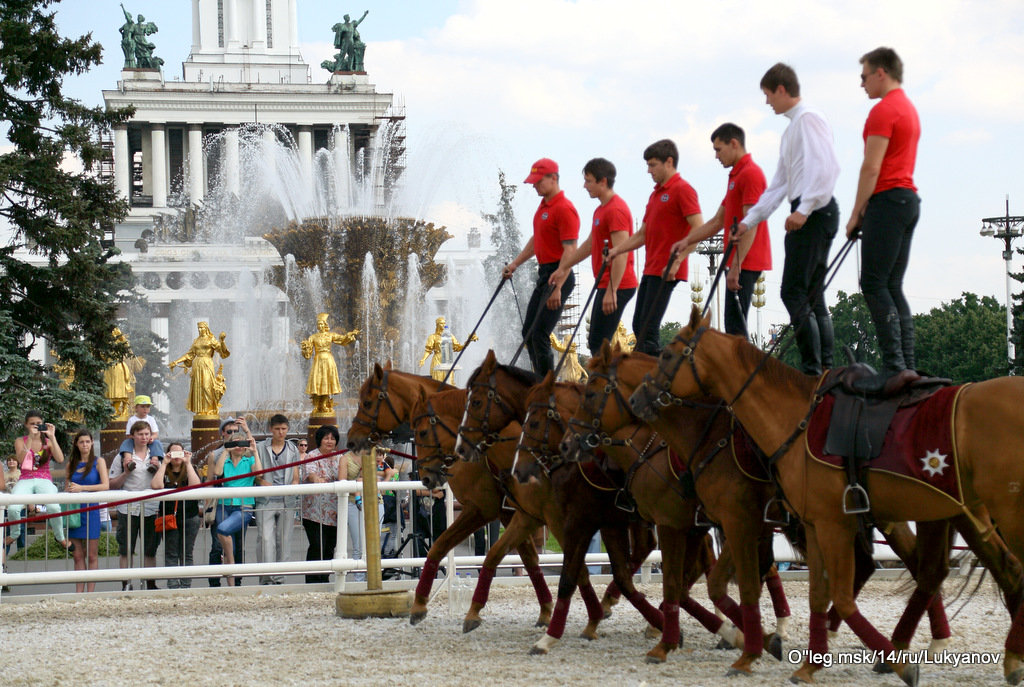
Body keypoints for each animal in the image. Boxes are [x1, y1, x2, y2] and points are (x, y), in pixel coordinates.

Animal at [638, 311, 1024, 687]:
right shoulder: (809, 524)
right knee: (979, 570)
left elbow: (832, 594)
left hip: (1001, 513)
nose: (640, 396)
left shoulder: (816, 524)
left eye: (668, 355)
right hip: (959, 511)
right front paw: (808, 662)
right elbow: (816, 596)